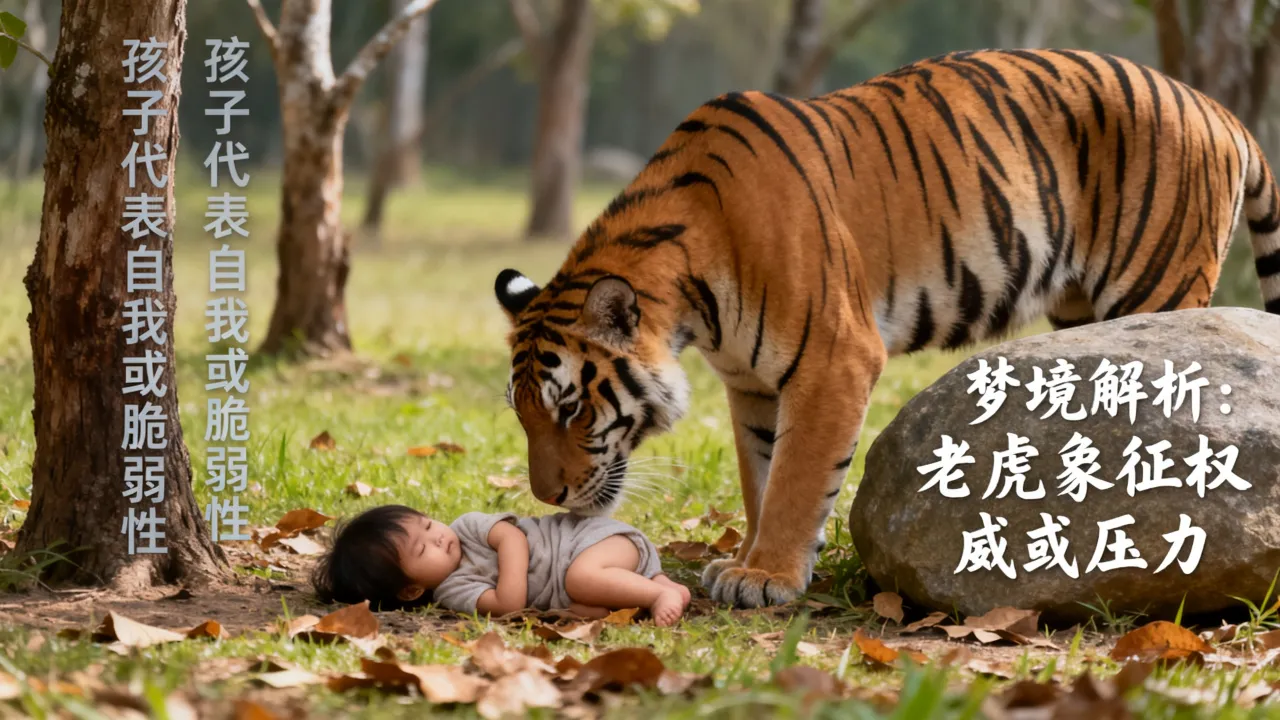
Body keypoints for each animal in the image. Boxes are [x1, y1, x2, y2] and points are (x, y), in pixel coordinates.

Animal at [493, 48, 1280, 609]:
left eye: (571, 408)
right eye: (523, 414)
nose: (547, 498)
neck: (692, 303)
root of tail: (1217, 107)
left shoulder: (832, 358)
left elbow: (798, 477)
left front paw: (767, 576)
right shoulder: (752, 384)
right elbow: (762, 474)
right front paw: (749, 560)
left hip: (1156, 287)